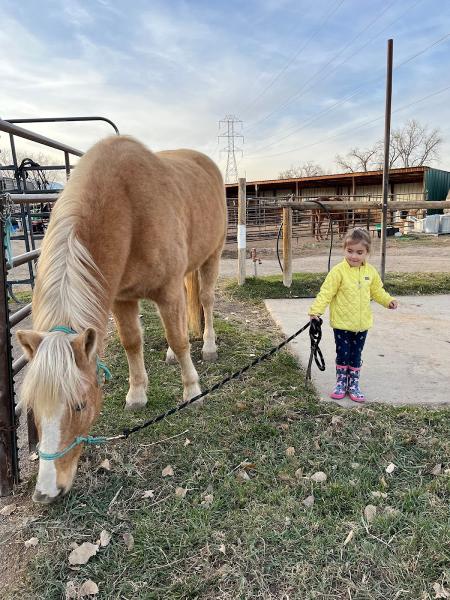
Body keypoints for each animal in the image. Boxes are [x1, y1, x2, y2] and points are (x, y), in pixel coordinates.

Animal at [15, 135, 227, 502]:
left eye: (81, 405)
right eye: (34, 410)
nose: (46, 492)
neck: (127, 209)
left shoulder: (167, 291)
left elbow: (178, 338)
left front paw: (192, 390)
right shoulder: (121, 298)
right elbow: (132, 342)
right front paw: (137, 395)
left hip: (212, 255)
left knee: (205, 301)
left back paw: (208, 347)